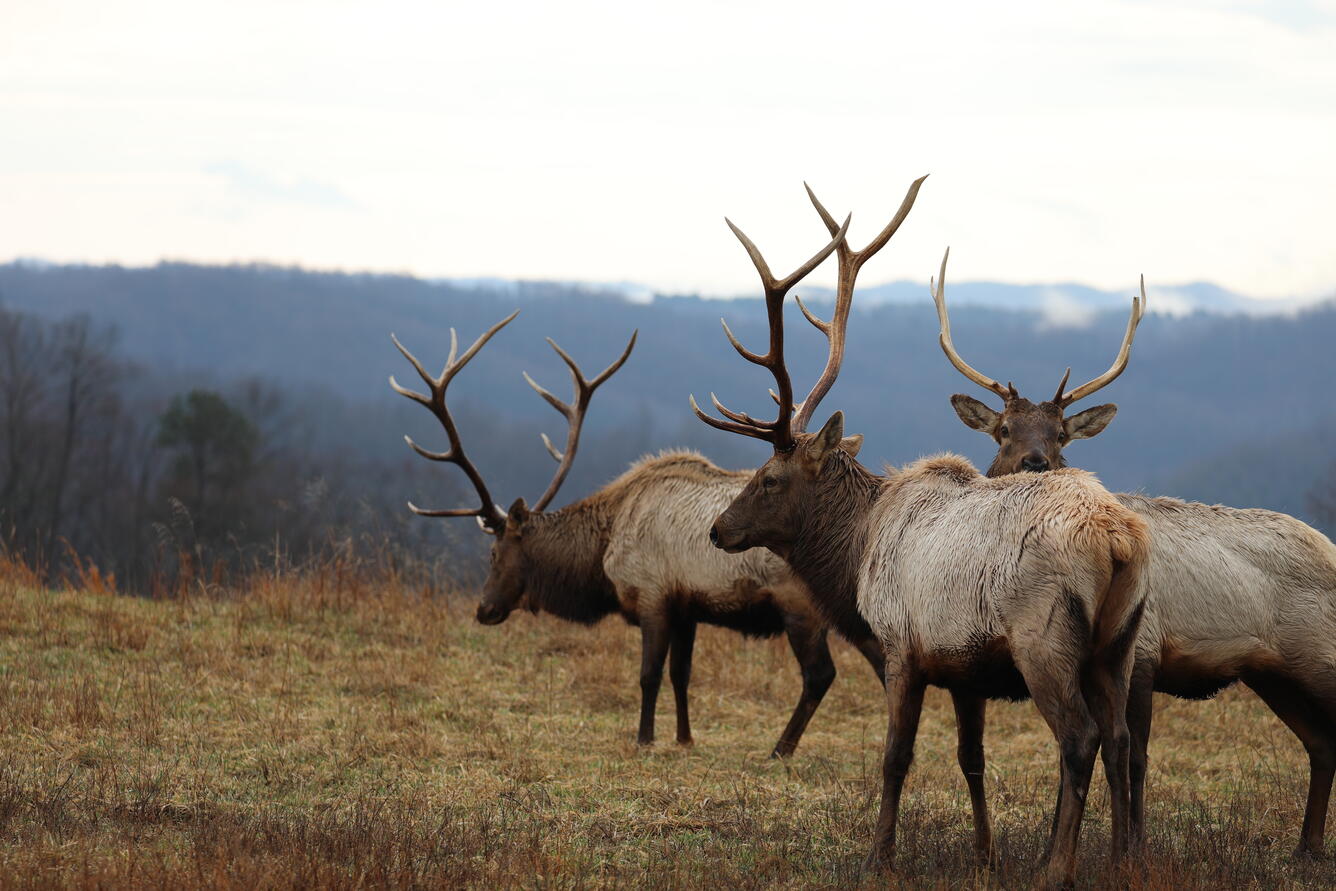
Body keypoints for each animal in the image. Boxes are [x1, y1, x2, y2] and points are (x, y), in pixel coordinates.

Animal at [388, 278, 890, 758]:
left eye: (495, 553)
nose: (484, 609)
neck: (604, 549)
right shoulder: (686, 606)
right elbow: (681, 675)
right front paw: (684, 738)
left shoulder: (651, 593)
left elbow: (648, 675)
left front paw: (645, 738)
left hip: (801, 605)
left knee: (821, 674)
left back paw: (781, 748)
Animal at [693, 193, 1151, 889]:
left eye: (769, 478)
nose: (720, 529)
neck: (855, 555)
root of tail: (1119, 540)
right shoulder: (966, 669)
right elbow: (971, 758)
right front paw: (985, 855)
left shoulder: (900, 647)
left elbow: (896, 757)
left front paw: (878, 856)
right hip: (1117, 643)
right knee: (1121, 738)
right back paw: (1123, 861)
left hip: (1045, 640)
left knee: (1080, 739)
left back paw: (1057, 868)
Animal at [934, 248, 1336, 858]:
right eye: (1002, 429)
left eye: (1061, 435)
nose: (1034, 461)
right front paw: (1066, 847)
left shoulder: (1143, 652)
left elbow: (1132, 756)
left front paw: (1131, 848)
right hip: (1275, 672)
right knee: (1321, 743)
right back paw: (1306, 847)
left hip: (1318, 655)